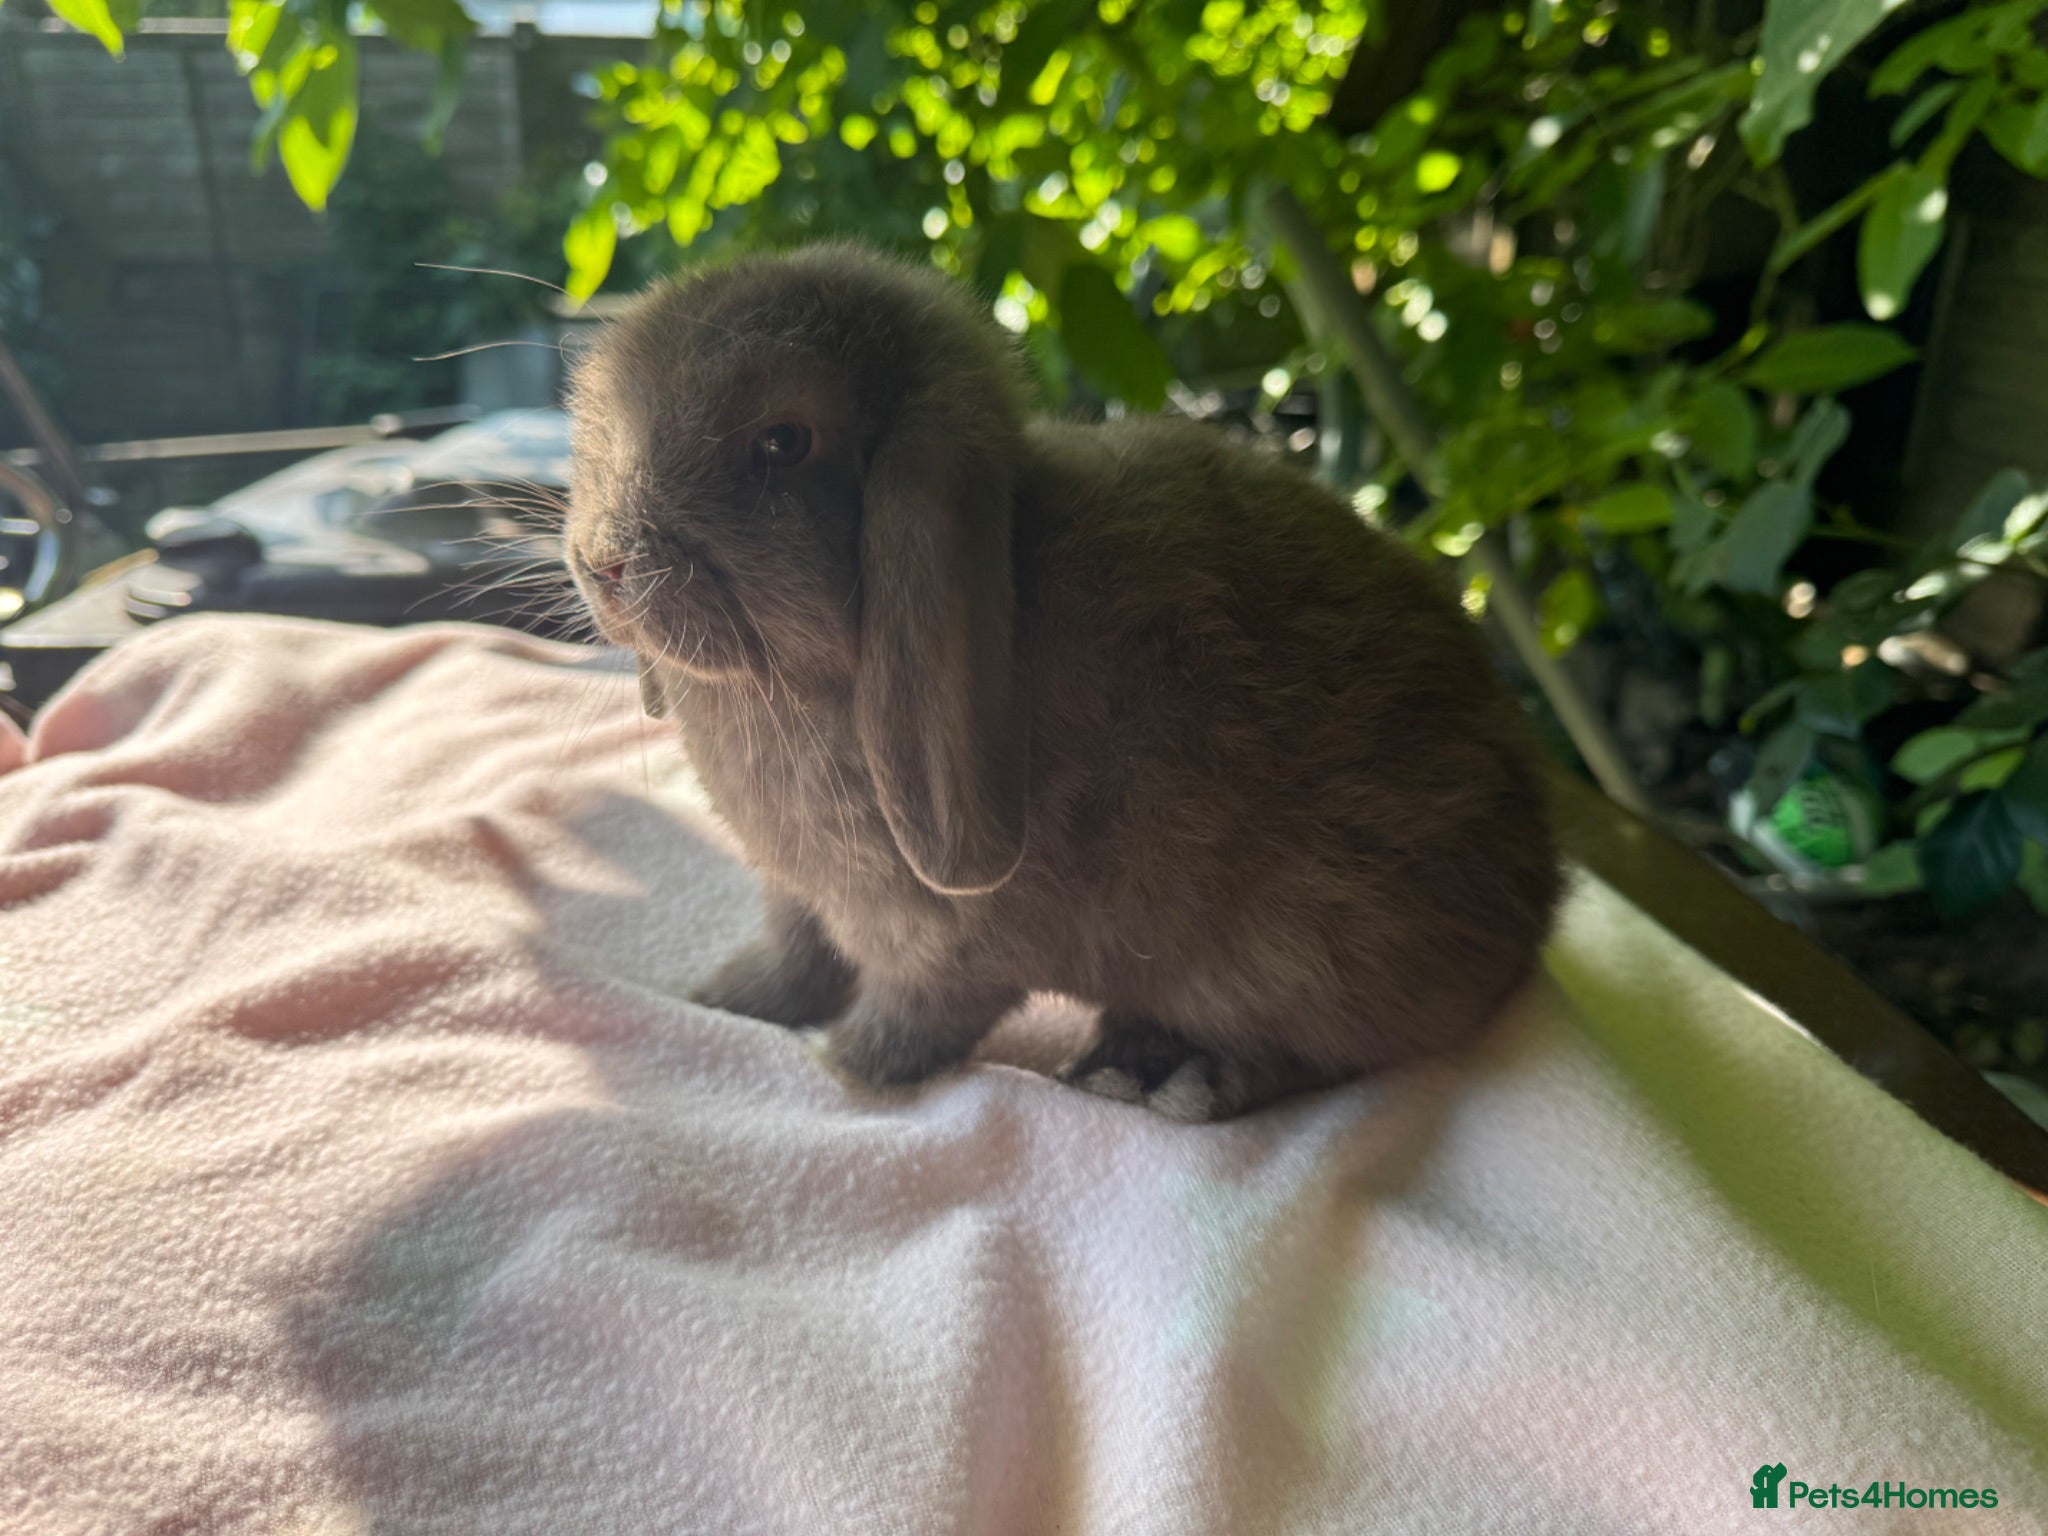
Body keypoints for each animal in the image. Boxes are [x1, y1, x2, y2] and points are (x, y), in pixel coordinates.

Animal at [564, 242, 1561, 1121]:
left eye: (781, 442)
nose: (600, 561)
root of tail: (1536, 899)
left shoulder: (947, 948)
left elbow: (908, 1024)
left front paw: (835, 1069)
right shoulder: (801, 898)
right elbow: (795, 957)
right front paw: (721, 997)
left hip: (1310, 957)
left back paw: (1157, 1076)